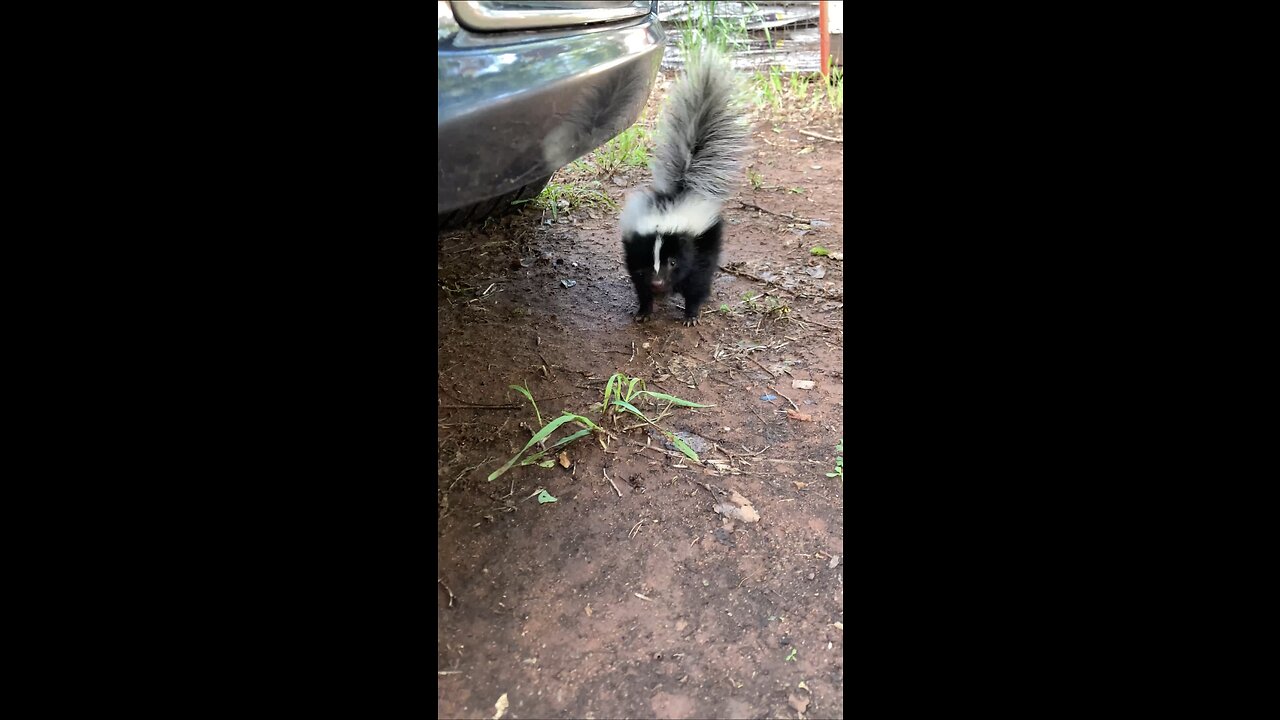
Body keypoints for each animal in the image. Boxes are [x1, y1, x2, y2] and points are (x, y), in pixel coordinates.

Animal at [622, 51, 747, 326]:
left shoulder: (697, 252)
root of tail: (682, 186)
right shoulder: (633, 256)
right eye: (648, 258)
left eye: (672, 261)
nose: (658, 282)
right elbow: (640, 285)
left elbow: (696, 286)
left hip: (711, 241)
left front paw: (691, 315)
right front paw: (644, 310)